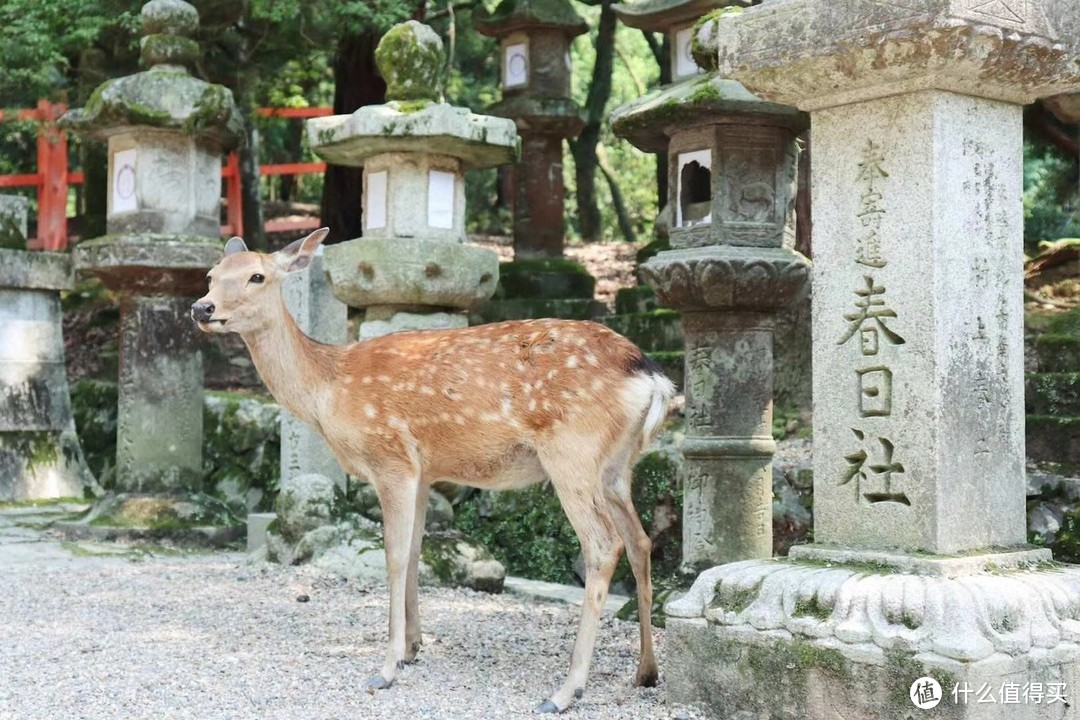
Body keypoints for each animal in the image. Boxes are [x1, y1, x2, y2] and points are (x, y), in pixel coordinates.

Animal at [190, 231, 669, 716]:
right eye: (211, 275)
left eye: (257, 276)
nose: (202, 308)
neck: (328, 392)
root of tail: (652, 377)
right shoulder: (423, 471)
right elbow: (418, 551)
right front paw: (413, 647)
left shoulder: (391, 458)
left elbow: (394, 555)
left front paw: (386, 668)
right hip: (617, 465)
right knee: (640, 540)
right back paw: (645, 671)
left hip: (572, 453)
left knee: (603, 545)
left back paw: (565, 691)